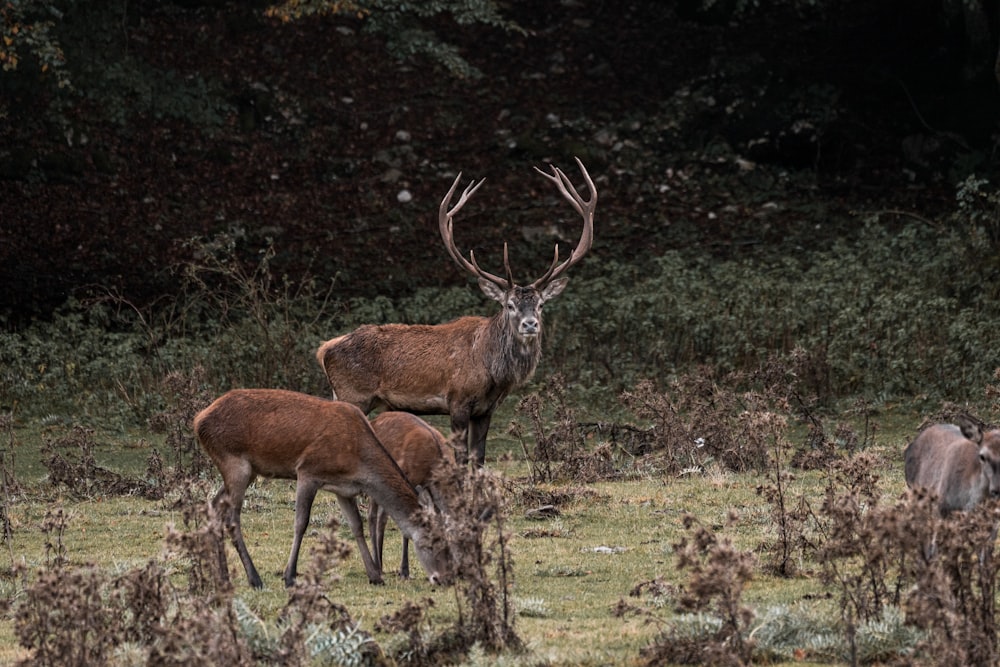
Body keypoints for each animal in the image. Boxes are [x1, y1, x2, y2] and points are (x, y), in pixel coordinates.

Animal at [316, 159, 592, 468]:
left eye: (541, 304)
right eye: (508, 305)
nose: (530, 324)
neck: (492, 372)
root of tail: (324, 349)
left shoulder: (486, 409)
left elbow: (479, 459)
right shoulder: (457, 399)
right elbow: (460, 458)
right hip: (353, 394)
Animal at [368, 412, 454, 580]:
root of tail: (374, 420)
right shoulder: (408, 476)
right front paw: (404, 571)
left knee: (382, 517)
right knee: (372, 516)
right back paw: (377, 565)